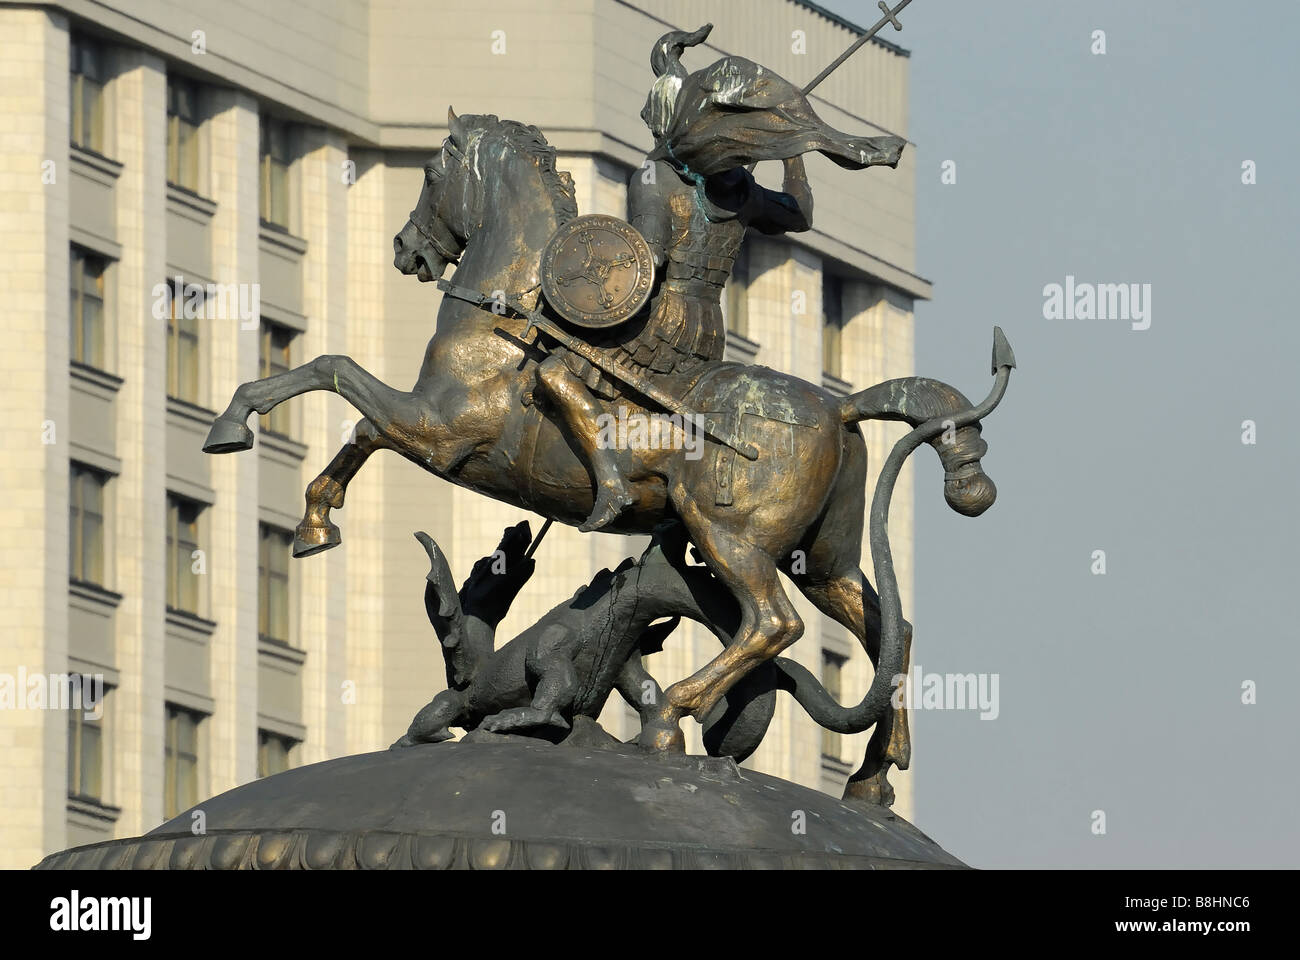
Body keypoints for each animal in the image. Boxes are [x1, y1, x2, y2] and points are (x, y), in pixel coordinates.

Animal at [202, 111, 998, 801]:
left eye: (432, 171)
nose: (408, 250)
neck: (510, 318)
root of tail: (839, 407)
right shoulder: (427, 429)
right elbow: (354, 418)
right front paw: (314, 517)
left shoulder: (439, 435)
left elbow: (334, 375)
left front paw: (241, 429)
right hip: (820, 559)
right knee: (888, 634)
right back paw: (871, 774)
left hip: (730, 538)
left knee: (776, 624)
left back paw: (674, 711)